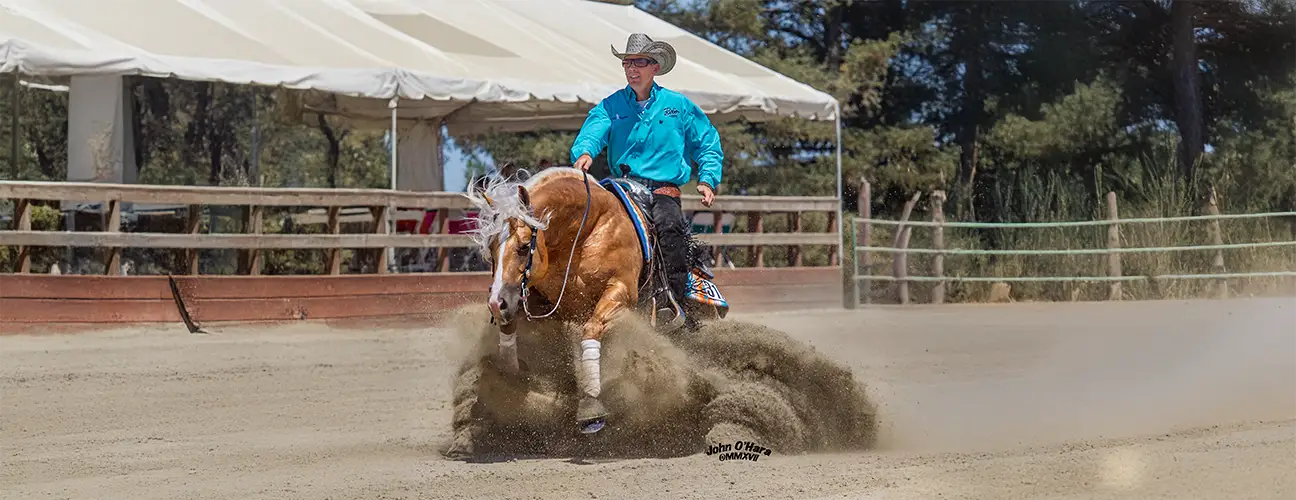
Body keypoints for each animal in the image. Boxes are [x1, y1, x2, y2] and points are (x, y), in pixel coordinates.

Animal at [463, 166, 729, 435]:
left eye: (524, 246)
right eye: (491, 248)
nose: (496, 303)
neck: (584, 233)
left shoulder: (620, 292)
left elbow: (591, 328)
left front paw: (591, 405)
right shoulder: (542, 304)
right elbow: (512, 328)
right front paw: (508, 379)